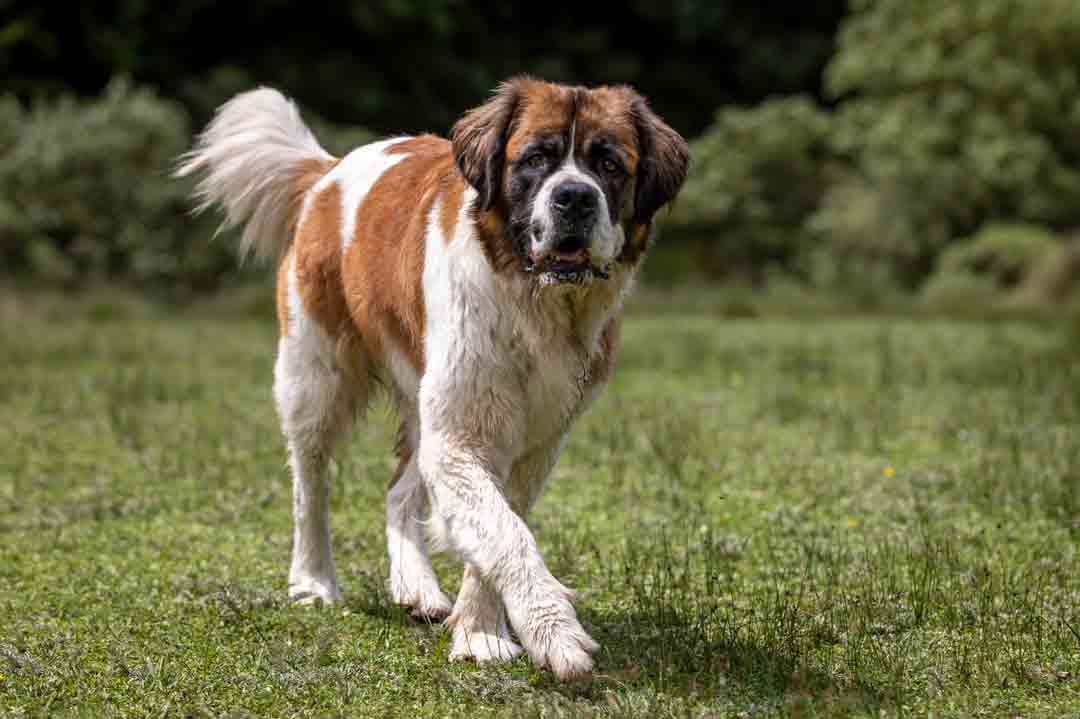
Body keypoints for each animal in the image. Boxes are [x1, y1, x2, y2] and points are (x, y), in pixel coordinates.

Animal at [174, 78, 682, 677]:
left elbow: (497, 524)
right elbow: (507, 533)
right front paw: (552, 630)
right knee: (310, 482)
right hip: (314, 376)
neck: (537, 307)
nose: (575, 197)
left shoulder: (534, 443)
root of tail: (328, 172)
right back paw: (314, 581)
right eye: (536, 159)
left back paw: (415, 587)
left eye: (608, 164)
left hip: (420, 399)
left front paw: (481, 631)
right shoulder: (460, 435)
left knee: (399, 491)